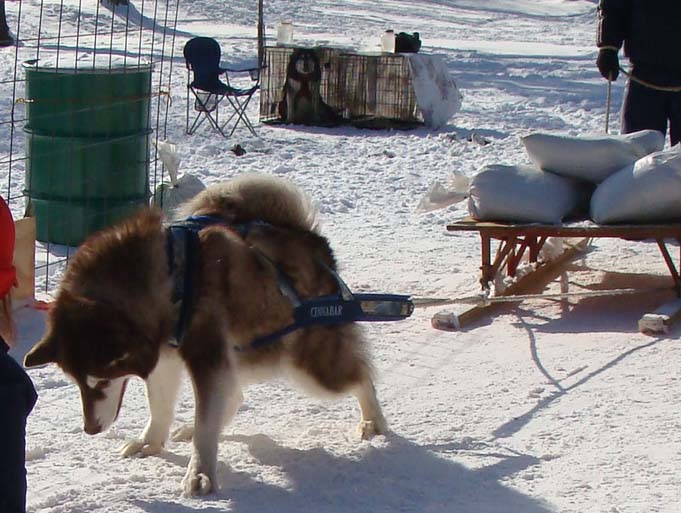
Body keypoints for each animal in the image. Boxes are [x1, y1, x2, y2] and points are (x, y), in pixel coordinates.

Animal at [23, 174, 386, 494]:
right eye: (76, 382)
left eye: (100, 380)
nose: (90, 429)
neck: (168, 277)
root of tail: (312, 241)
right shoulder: (165, 357)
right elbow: (161, 407)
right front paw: (151, 441)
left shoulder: (205, 357)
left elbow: (205, 424)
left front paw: (200, 474)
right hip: (249, 349)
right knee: (235, 394)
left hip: (305, 364)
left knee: (361, 377)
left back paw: (374, 420)